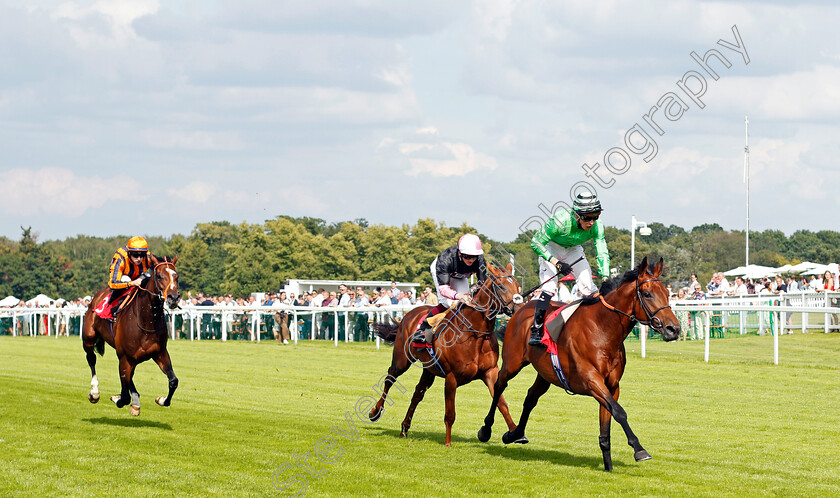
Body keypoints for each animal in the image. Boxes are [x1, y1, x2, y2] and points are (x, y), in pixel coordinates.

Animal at [83, 256, 180, 416]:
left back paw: (135, 403)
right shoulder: (125, 357)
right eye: (159, 276)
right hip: (89, 338)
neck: (147, 320)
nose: (174, 298)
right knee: (91, 359)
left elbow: (173, 381)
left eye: (176, 276)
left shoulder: (159, 352)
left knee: (130, 377)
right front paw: (118, 399)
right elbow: (125, 395)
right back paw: (95, 393)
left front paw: (161, 400)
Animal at [370, 262, 520, 446]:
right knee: (390, 378)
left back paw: (404, 428)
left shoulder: (490, 372)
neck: (474, 334)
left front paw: (515, 433)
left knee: (417, 393)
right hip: (402, 359)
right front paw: (447, 442)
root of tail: (409, 314)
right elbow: (450, 414)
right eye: (501, 286)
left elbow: (502, 403)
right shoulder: (451, 377)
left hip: (429, 369)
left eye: (516, 284)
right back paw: (375, 412)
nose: (519, 306)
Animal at [476, 256, 680, 470]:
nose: (674, 329)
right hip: (513, 363)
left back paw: (515, 434)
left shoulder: (611, 386)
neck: (603, 330)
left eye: (667, 293)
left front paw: (608, 466)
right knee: (499, 384)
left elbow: (607, 422)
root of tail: (521, 307)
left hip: (545, 373)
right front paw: (639, 449)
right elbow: (619, 412)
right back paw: (486, 429)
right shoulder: (591, 381)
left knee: (531, 397)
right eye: (647, 294)